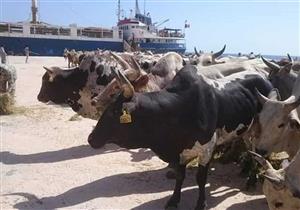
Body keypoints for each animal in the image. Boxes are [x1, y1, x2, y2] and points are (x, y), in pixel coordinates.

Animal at [87, 65, 272, 209]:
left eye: (114, 112)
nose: (91, 138)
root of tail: (263, 77)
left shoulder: (207, 149)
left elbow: (200, 179)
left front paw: (201, 203)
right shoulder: (180, 151)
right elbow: (180, 176)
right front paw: (174, 200)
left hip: (259, 129)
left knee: (258, 152)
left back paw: (251, 180)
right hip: (246, 130)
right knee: (250, 150)